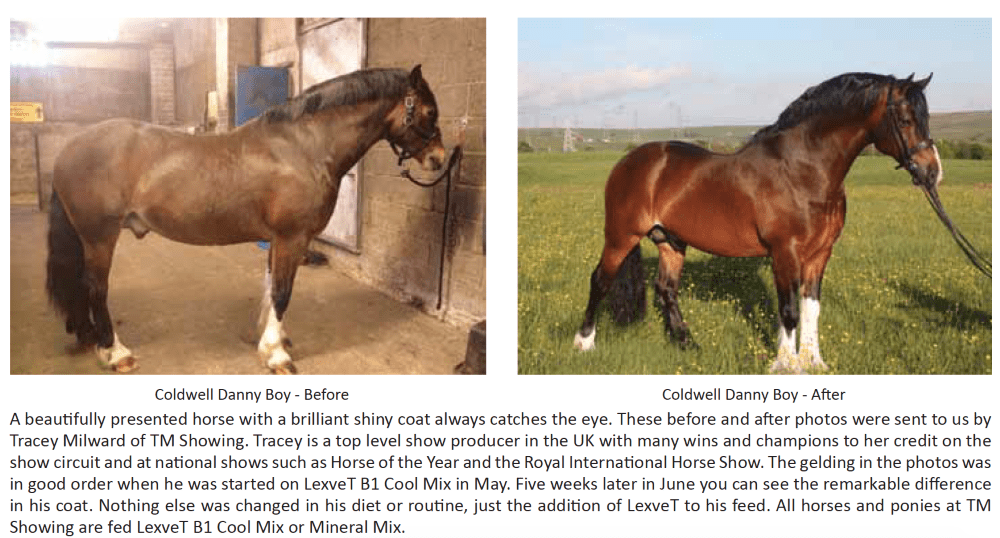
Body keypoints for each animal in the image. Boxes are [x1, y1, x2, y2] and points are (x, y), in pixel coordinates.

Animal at [46, 65, 446, 374]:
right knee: (96, 289)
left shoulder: (278, 239)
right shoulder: (291, 238)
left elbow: (270, 287)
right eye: (429, 112)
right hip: (100, 237)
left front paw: (272, 340)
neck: (304, 148)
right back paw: (116, 353)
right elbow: (282, 292)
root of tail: (69, 146)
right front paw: (277, 356)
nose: (439, 159)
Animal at [573, 72, 944, 374]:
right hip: (620, 236)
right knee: (600, 281)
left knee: (666, 290)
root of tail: (629, 161)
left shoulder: (819, 254)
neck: (802, 170)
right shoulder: (784, 252)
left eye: (925, 118)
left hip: (671, 241)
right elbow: (789, 311)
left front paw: (815, 363)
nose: (932, 172)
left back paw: (688, 345)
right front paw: (787, 365)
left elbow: (810, 309)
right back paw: (584, 342)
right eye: (906, 119)